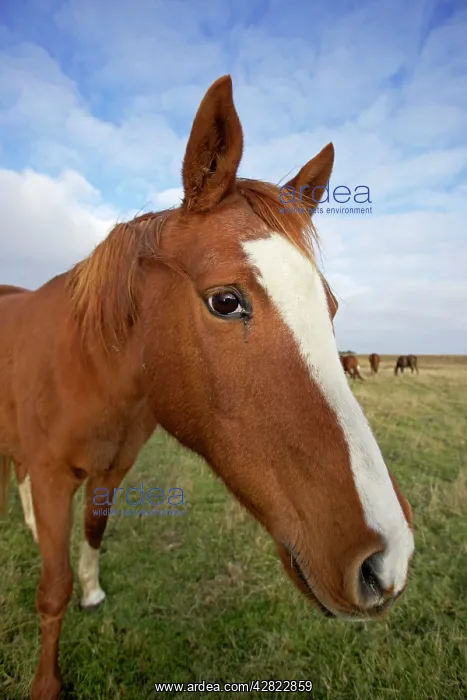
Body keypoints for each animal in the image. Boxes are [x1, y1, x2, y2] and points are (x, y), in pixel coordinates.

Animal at [0, 75, 414, 700]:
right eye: (226, 301)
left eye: (332, 307)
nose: (388, 560)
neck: (89, 368)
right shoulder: (53, 479)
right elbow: (53, 590)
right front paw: (46, 683)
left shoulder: (112, 471)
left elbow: (93, 532)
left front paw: (93, 590)